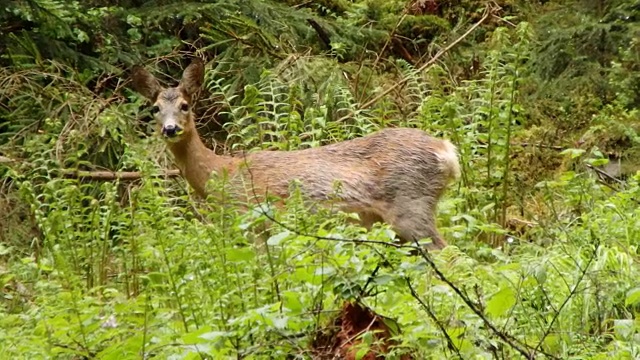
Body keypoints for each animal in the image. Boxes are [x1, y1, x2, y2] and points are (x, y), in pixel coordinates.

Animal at [130, 59, 460, 250]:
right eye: (155, 108)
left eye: (185, 105)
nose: (170, 129)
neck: (221, 174)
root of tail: (446, 151)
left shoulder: (253, 222)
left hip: (410, 205)